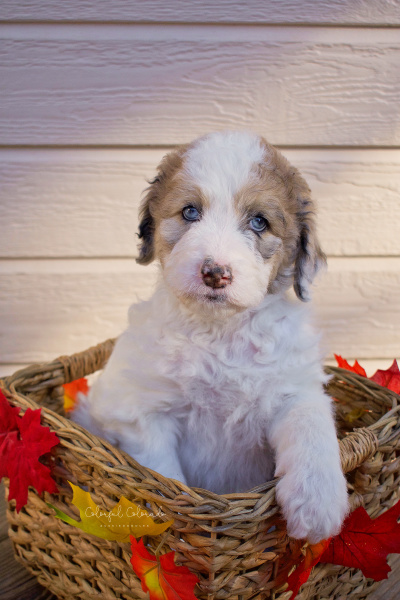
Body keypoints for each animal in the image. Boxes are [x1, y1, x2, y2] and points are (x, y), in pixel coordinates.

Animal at [73, 131, 348, 544]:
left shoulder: (294, 389)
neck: (221, 333)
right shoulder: (141, 410)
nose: (215, 272)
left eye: (259, 222)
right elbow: (161, 474)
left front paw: (318, 504)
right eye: (190, 213)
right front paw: (174, 527)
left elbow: (311, 424)